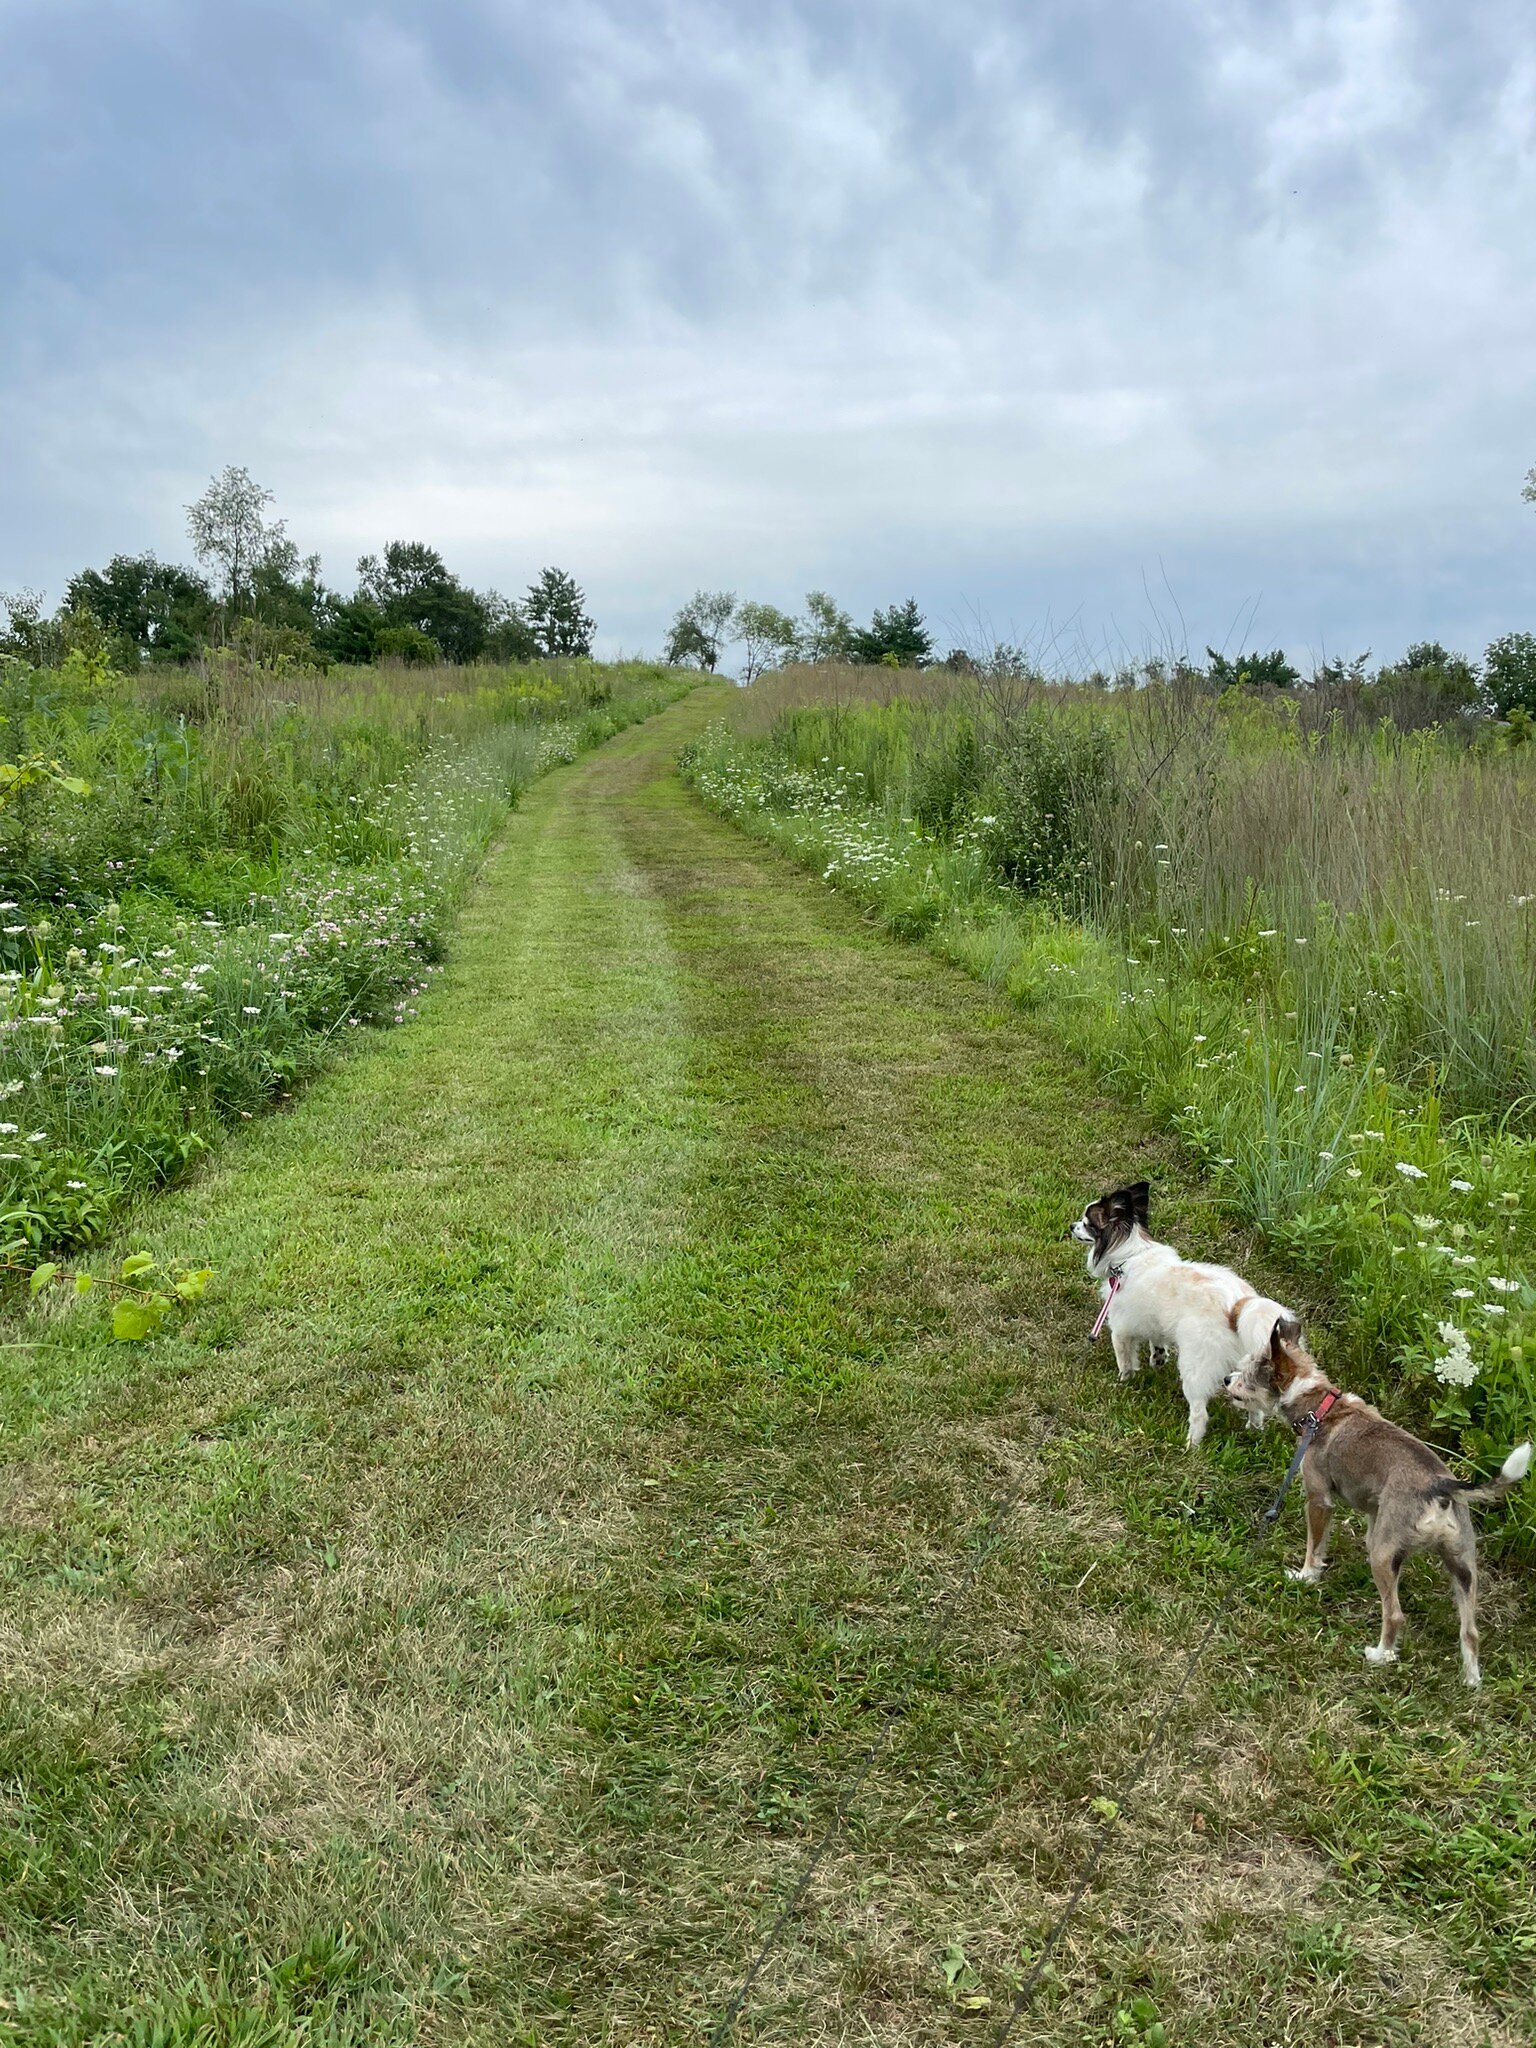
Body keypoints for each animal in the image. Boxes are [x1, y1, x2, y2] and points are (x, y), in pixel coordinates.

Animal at [1073, 1179, 1302, 1449]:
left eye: (1088, 1223)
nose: (1071, 1226)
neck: (1129, 1254)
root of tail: (1238, 1305)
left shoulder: (1120, 1328)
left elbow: (1125, 1359)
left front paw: (1124, 1380)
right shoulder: (1155, 1323)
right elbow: (1157, 1341)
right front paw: (1158, 1359)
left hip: (1194, 1366)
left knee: (1200, 1413)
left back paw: (1191, 1445)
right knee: (1253, 1404)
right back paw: (1254, 1430)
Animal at [1228, 1318, 1531, 1687]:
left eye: (1248, 1373)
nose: (1226, 1380)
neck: (1319, 1406)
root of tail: (1441, 1486)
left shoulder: (1318, 1499)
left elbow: (1314, 1547)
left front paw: (1306, 1577)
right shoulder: (1373, 1513)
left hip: (1385, 1556)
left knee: (1396, 1614)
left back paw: (1380, 1655)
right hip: (1462, 1565)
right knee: (1470, 1632)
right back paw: (1471, 1681)